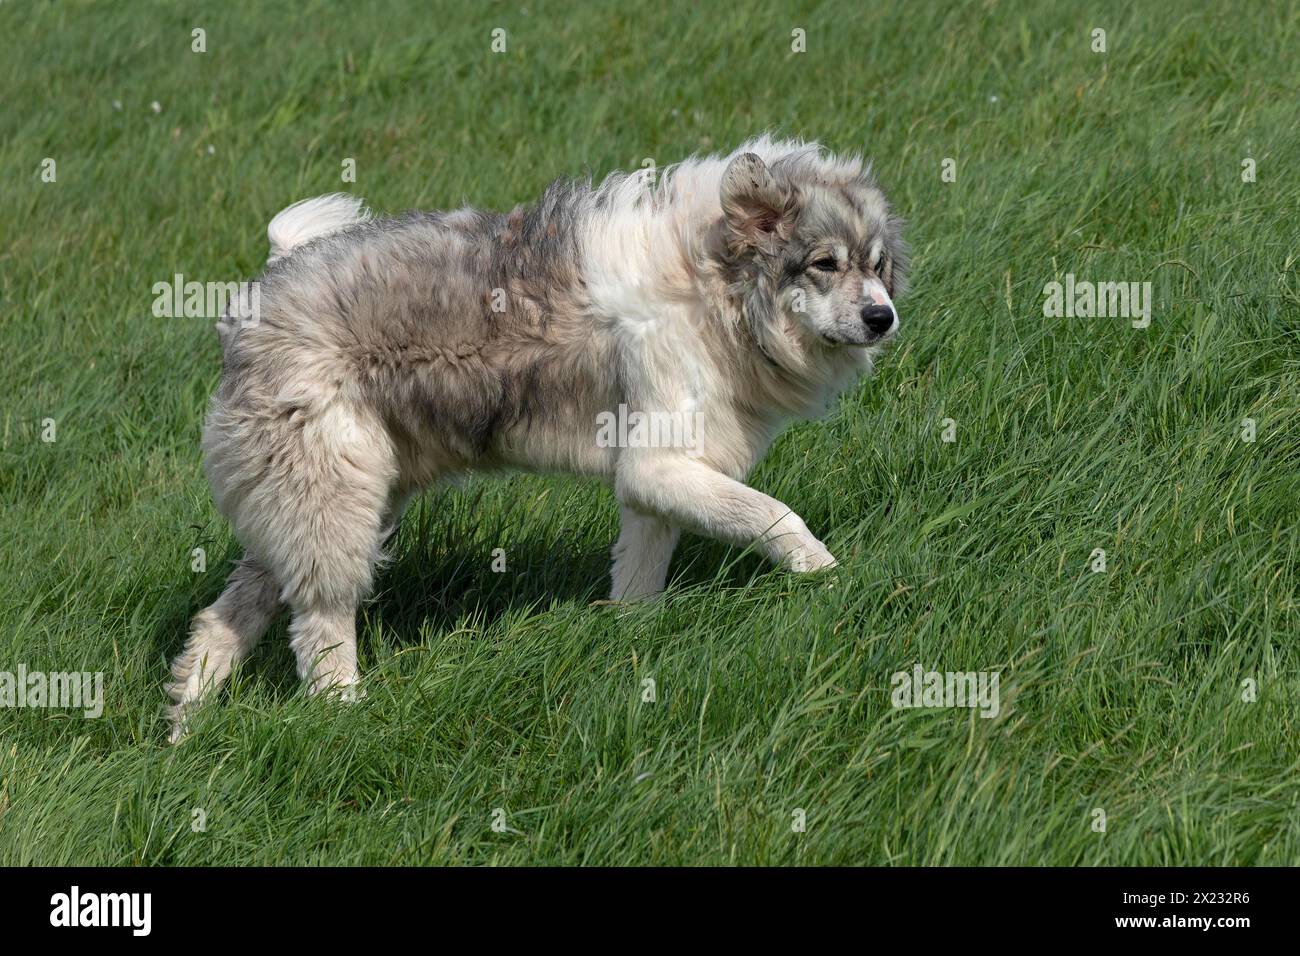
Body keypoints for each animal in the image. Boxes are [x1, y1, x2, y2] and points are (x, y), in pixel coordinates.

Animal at [165, 134, 904, 738]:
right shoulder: (658, 468)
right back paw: (346, 712)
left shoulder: (657, 483)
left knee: (223, 618)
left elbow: (640, 577)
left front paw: (629, 639)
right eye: (825, 264)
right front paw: (830, 576)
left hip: (319, 505)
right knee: (319, 625)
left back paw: (184, 728)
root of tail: (262, 291)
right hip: (335, 506)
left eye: (875, 265)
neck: (713, 285)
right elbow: (778, 517)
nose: (883, 318)